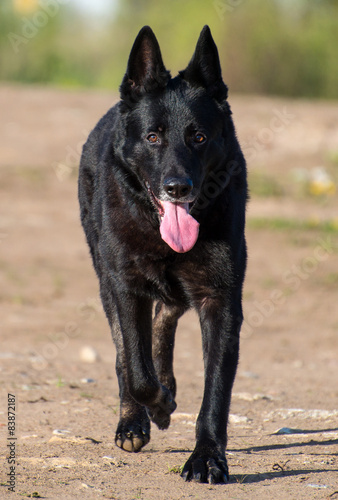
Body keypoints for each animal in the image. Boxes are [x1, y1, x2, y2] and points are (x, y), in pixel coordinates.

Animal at [79, 24, 248, 484]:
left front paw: (207, 457)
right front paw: (156, 406)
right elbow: (136, 369)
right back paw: (134, 419)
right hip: (106, 281)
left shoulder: (220, 300)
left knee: (167, 313)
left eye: (199, 137)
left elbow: (216, 392)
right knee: (126, 353)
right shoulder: (125, 287)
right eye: (153, 137)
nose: (177, 188)